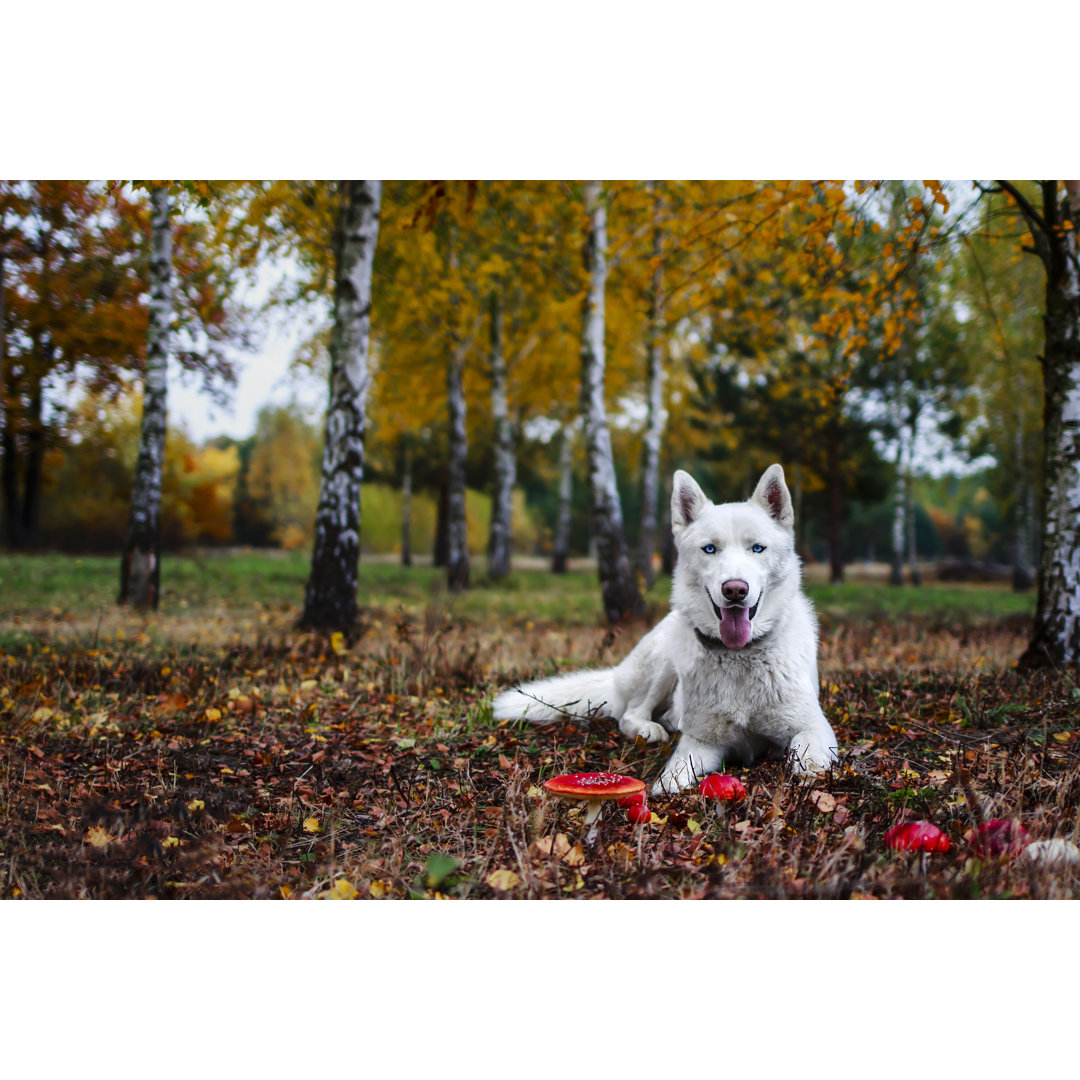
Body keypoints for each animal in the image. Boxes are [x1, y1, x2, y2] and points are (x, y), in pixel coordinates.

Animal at [494, 464, 838, 794]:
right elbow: (674, 772)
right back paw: (651, 728)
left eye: (757, 548)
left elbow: (808, 758)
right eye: (710, 549)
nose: (735, 590)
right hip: (663, 661)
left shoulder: (814, 728)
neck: (740, 656)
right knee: (629, 714)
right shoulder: (703, 741)